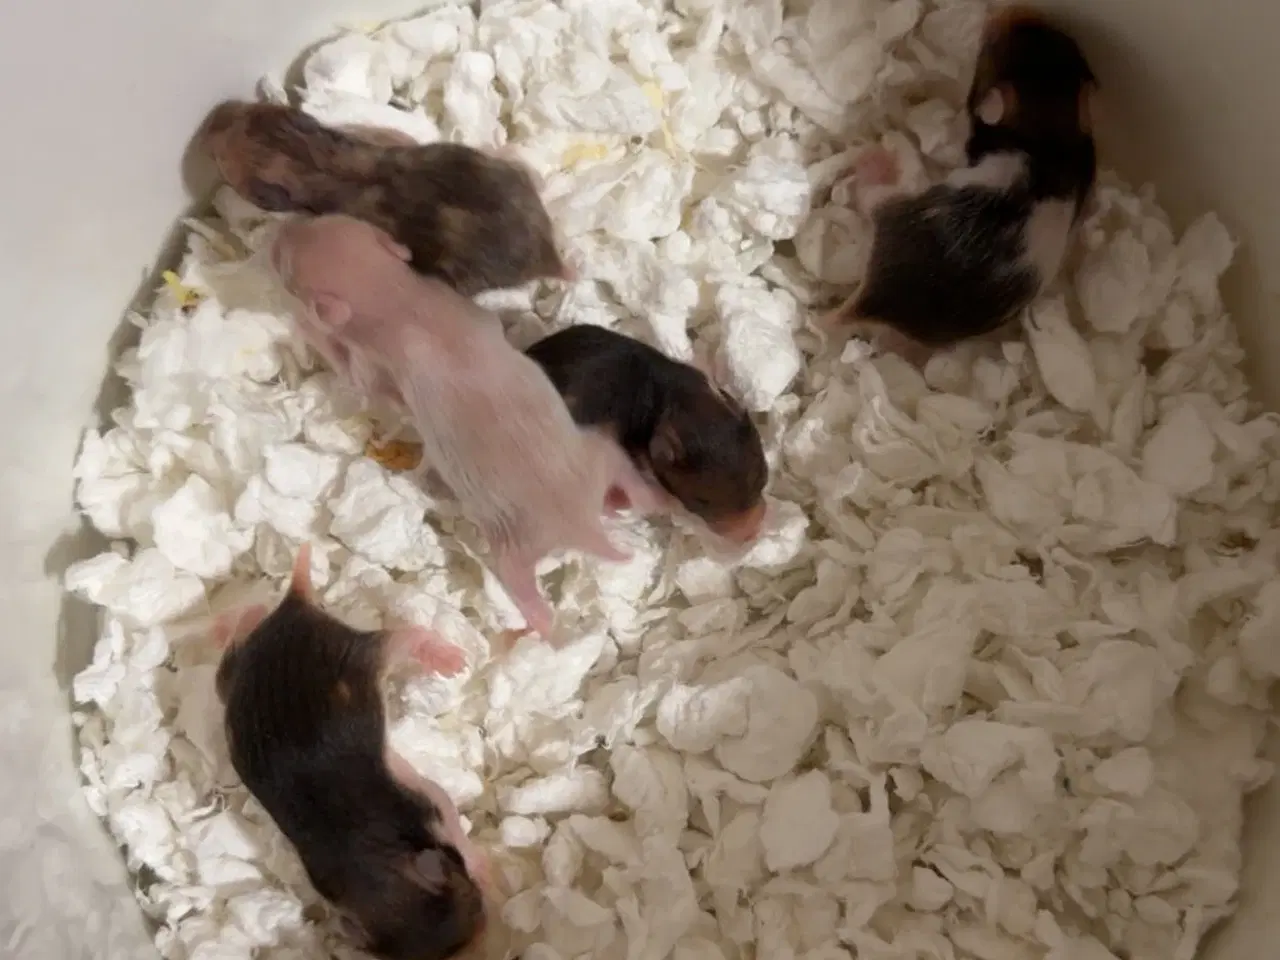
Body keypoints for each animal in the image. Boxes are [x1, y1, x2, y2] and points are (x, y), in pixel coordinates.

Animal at [213, 544, 488, 960]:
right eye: (459, 943)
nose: (485, 931)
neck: (369, 858)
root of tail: (294, 607)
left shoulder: (423, 803)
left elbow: (446, 802)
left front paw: (480, 862)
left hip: (354, 656)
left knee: (401, 637)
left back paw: (447, 659)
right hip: (255, 673)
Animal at [268, 214, 660, 639]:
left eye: (287, 269)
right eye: (326, 219)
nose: (282, 228)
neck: (399, 298)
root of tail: (582, 521)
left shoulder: (376, 356)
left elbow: (361, 381)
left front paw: (306, 326)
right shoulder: (460, 306)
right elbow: (491, 322)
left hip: (516, 540)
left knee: (518, 580)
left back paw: (538, 626)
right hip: (593, 454)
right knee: (621, 466)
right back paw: (644, 496)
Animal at [823, 4, 1098, 365]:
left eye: (991, 50)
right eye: (1058, 38)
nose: (1016, 8)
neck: (1047, 134)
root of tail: (875, 298)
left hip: (898, 205)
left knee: (875, 196)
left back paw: (875, 163)